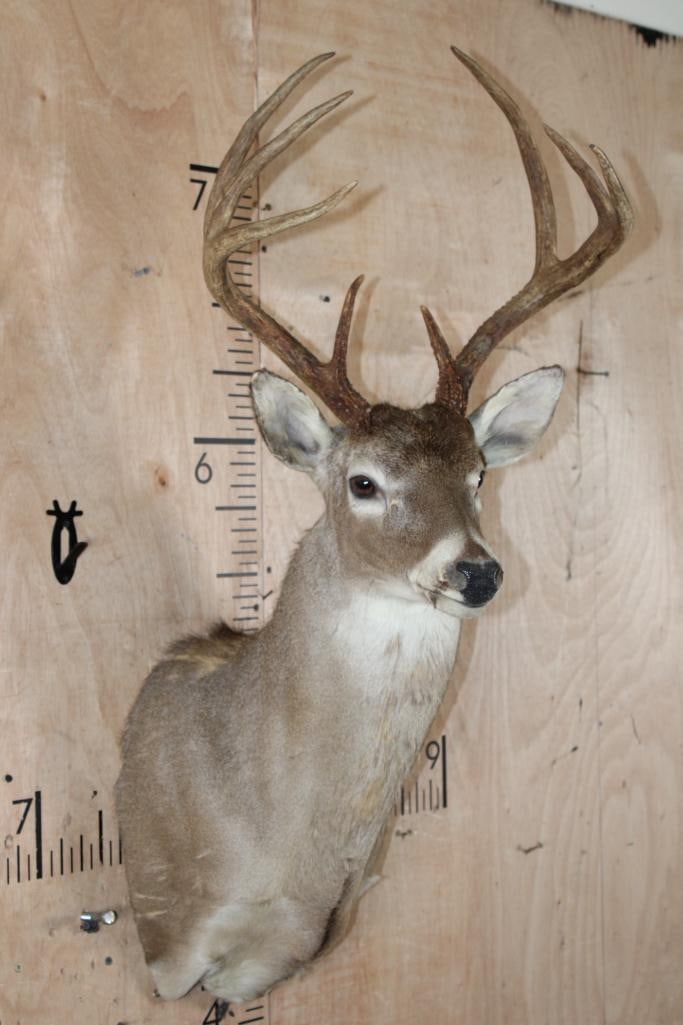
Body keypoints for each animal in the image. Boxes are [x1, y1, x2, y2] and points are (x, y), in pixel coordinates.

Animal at [116, 47, 632, 1004]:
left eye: (476, 475)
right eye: (362, 481)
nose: (477, 571)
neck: (274, 851)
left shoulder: (284, 954)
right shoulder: (169, 945)